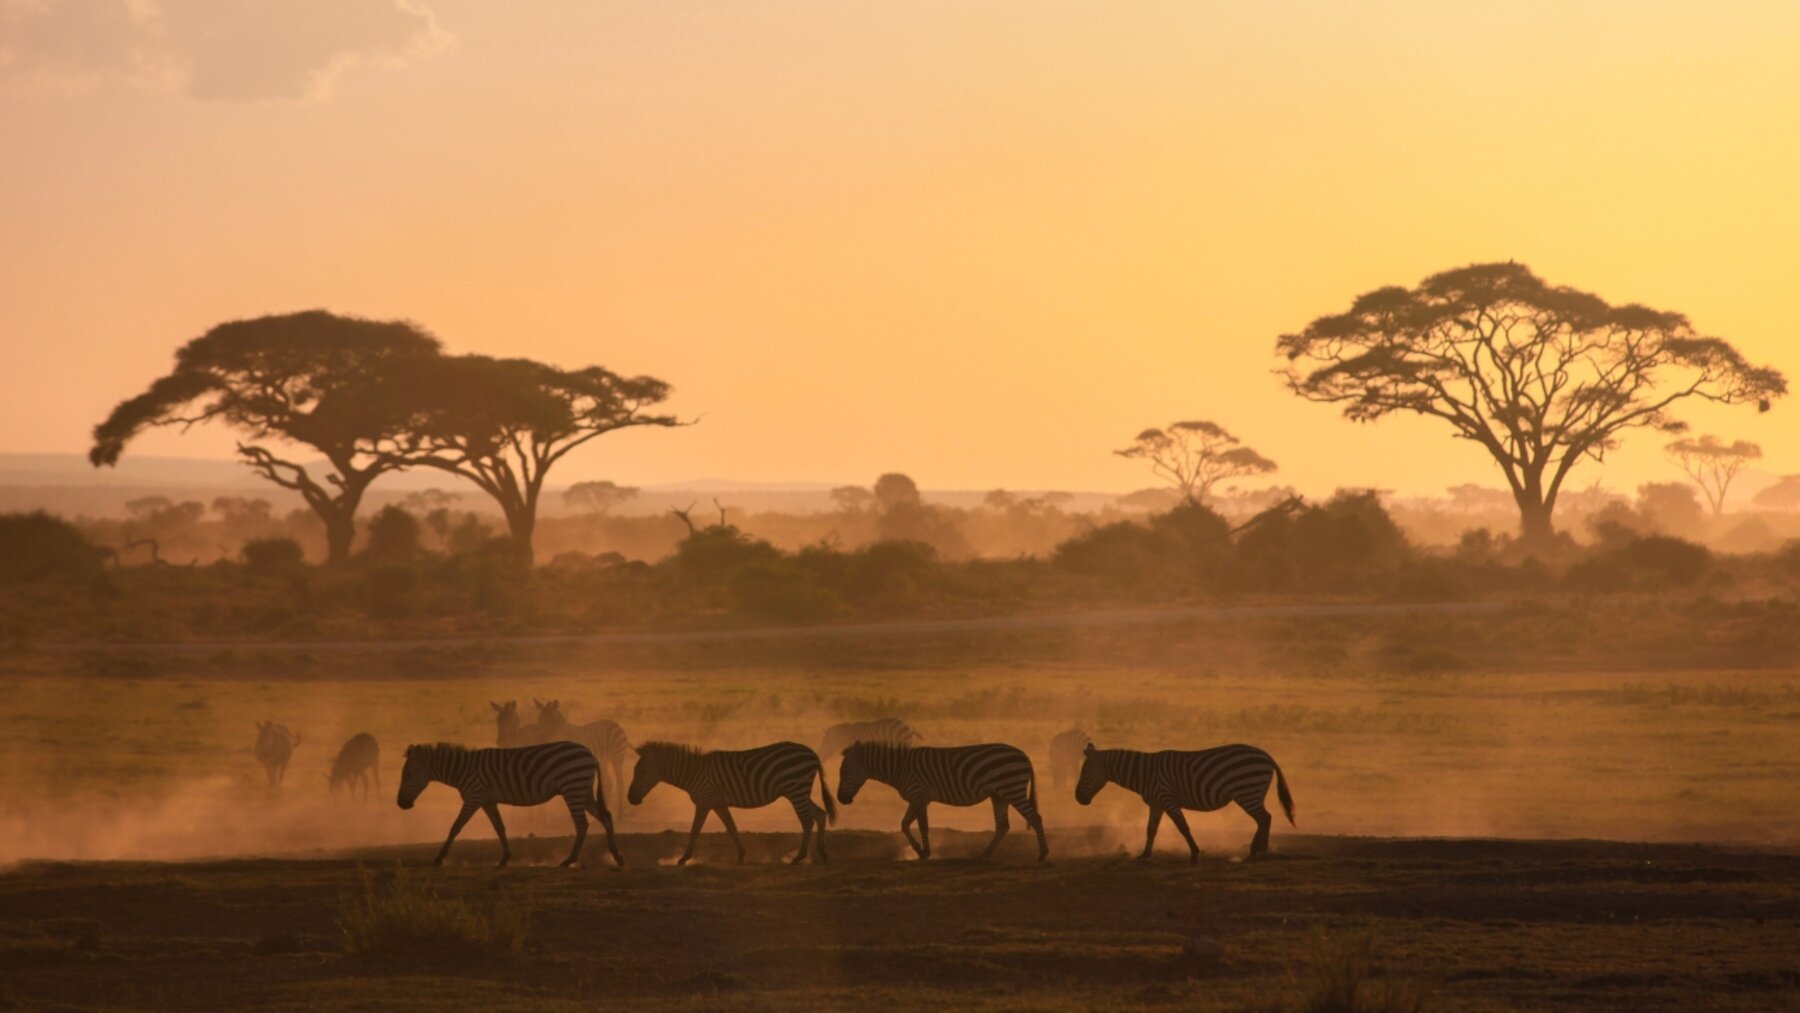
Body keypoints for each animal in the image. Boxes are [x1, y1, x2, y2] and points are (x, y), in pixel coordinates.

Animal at [396, 737, 626, 870]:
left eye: (408, 775)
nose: (401, 804)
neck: (462, 770)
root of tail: (590, 753)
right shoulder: (487, 801)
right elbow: (500, 828)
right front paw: (505, 858)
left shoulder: (474, 797)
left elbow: (456, 827)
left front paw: (439, 858)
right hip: (582, 790)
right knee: (605, 816)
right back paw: (617, 856)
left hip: (573, 788)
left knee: (582, 824)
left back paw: (569, 860)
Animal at [626, 741, 835, 867]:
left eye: (640, 772)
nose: (630, 799)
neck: (692, 773)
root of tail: (811, 753)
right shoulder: (718, 803)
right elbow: (732, 828)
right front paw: (741, 856)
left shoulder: (704, 800)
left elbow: (695, 830)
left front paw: (683, 858)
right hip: (799, 791)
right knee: (820, 814)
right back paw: (823, 853)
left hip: (796, 789)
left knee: (807, 820)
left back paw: (799, 857)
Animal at [835, 741, 1051, 860]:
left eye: (844, 772)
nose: (841, 799)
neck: (899, 767)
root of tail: (1024, 755)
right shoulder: (918, 797)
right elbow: (904, 824)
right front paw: (919, 850)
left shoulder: (918, 794)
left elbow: (922, 825)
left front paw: (926, 852)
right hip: (999, 794)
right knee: (1003, 825)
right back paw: (986, 854)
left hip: (1012, 789)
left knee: (1035, 818)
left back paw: (1042, 854)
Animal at [1072, 741, 1303, 860]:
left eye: (1085, 773)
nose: (1078, 799)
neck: (1144, 774)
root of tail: (1265, 755)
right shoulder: (1156, 803)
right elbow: (1151, 829)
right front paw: (1145, 855)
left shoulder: (1168, 798)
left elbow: (1183, 827)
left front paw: (1194, 853)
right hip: (1252, 792)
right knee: (1265, 819)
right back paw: (1260, 850)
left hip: (1247, 791)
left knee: (1264, 818)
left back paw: (1256, 851)